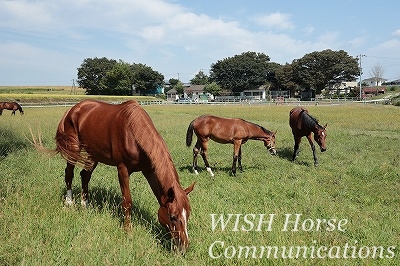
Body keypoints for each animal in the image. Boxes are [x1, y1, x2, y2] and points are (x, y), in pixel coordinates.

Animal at [30, 100, 195, 254]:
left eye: (188, 215)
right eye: (173, 216)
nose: (184, 246)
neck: (133, 132)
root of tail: (72, 109)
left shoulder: (149, 170)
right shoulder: (122, 169)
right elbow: (127, 201)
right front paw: (128, 231)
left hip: (93, 153)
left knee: (85, 175)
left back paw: (85, 205)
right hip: (73, 149)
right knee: (69, 174)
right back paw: (69, 202)